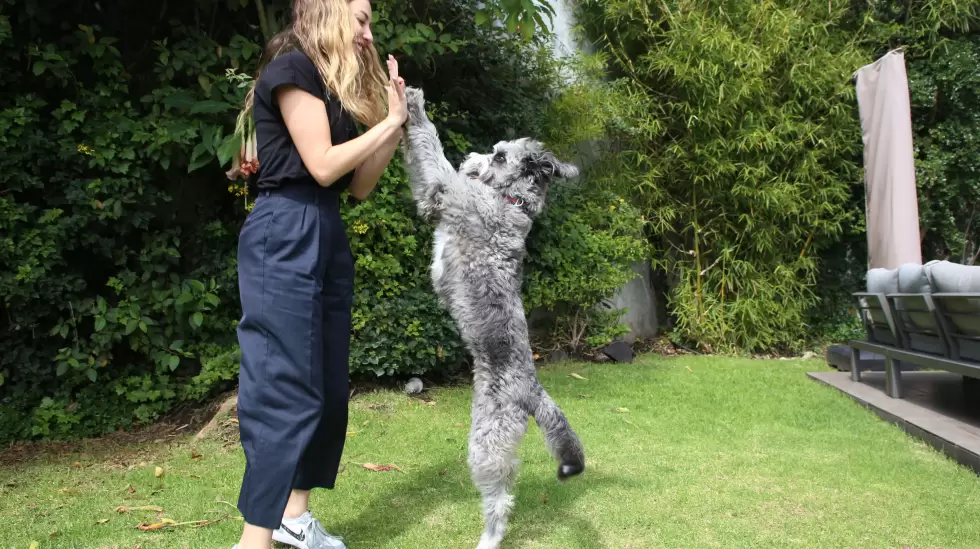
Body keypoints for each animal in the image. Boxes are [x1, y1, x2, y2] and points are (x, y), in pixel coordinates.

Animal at [400, 86, 584, 548]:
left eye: (500, 156)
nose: (471, 157)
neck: (511, 201)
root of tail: (534, 392)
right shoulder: (438, 198)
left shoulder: (444, 189)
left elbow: (429, 147)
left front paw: (414, 105)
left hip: (488, 444)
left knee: (501, 499)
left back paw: (489, 537)